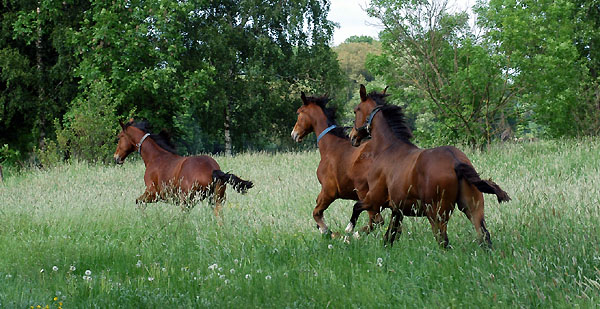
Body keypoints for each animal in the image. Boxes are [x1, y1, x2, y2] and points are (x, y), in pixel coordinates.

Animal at [113, 119, 252, 215]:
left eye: (119, 137)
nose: (116, 158)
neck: (155, 157)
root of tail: (214, 170)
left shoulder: (152, 193)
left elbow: (138, 202)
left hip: (187, 201)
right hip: (216, 200)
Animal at [344, 85, 508, 248]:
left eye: (356, 110)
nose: (352, 137)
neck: (388, 147)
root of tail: (455, 161)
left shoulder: (374, 199)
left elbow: (356, 207)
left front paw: (349, 233)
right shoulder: (398, 210)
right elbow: (389, 237)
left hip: (436, 215)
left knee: (443, 242)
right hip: (472, 209)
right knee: (484, 237)